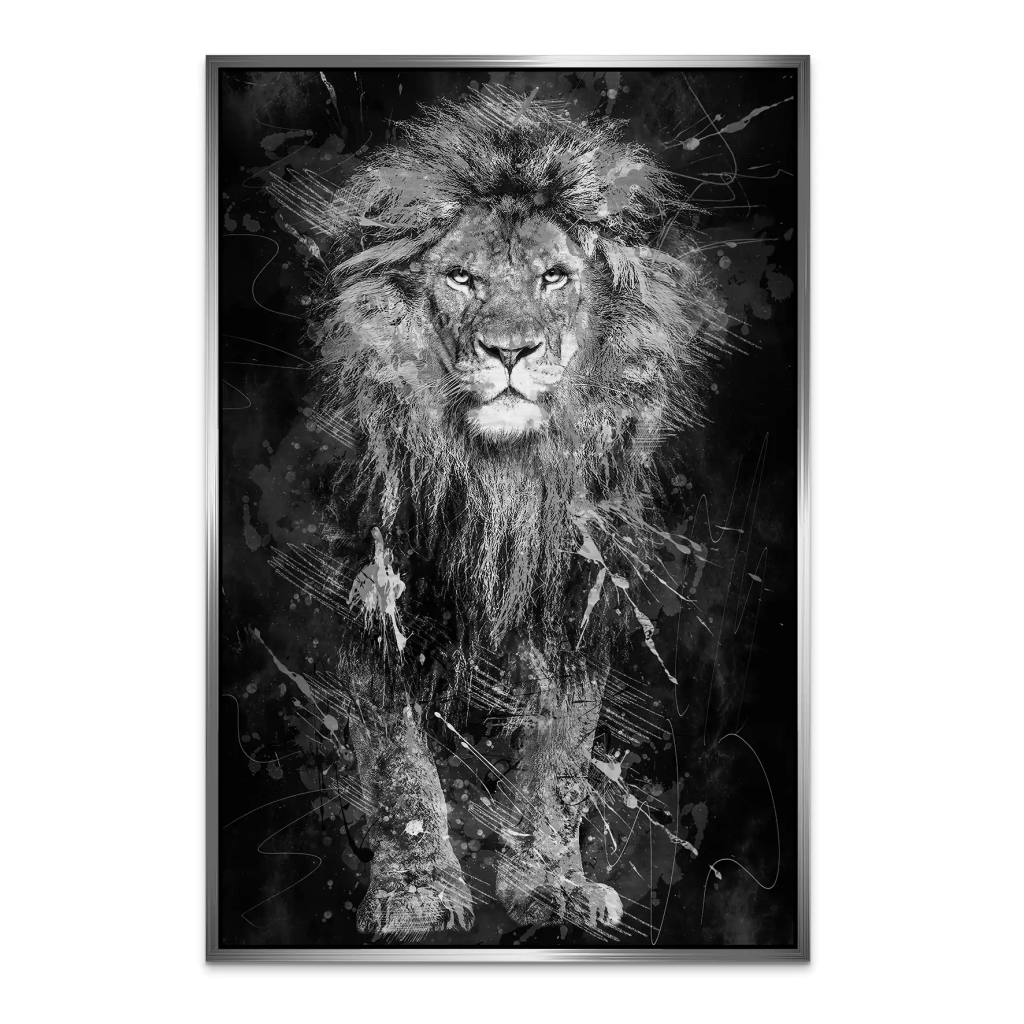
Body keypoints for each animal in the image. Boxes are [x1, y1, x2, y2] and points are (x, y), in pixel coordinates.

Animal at [268, 85, 721, 941]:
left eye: (554, 278)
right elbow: (401, 766)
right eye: (460, 278)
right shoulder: (378, 590)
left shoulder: (576, 595)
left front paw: (554, 886)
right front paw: (416, 896)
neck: (499, 481)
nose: (510, 351)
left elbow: (563, 761)